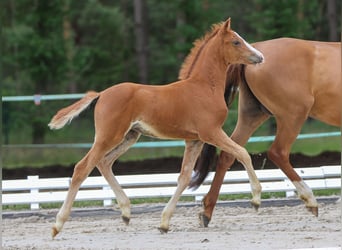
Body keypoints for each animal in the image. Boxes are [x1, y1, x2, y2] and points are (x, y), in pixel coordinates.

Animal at [48, 18, 264, 237]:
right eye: (236, 41)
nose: (259, 57)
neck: (204, 87)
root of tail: (100, 94)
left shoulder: (194, 140)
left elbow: (184, 177)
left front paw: (164, 223)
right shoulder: (211, 133)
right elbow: (242, 153)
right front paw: (256, 199)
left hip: (129, 136)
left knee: (104, 163)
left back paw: (126, 212)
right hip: (108, 137)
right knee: (82, 168)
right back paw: (58, 224)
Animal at [191, 37, 340, 227]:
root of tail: (256, 49)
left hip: (253, 114)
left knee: (230, 153)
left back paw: (207, 211)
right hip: (293, 114)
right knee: (278, 152)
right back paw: (309, 199)